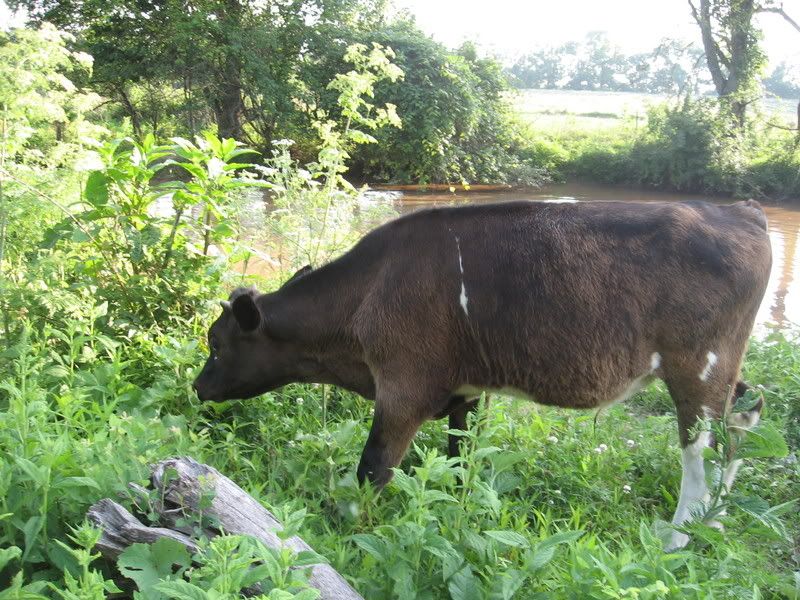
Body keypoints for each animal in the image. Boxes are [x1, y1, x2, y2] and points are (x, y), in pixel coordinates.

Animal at [192, 199, 771, 550]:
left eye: (217, 343)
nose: (198, 386)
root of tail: (738, 209)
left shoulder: (403, 386)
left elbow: (373, 468)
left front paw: (354, 530)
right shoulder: (466, 390)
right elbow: (457, 459)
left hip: (697, 370)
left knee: (702, 460)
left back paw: (677, 542)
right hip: (723, 373)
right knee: (744, 419)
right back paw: (715, 526)